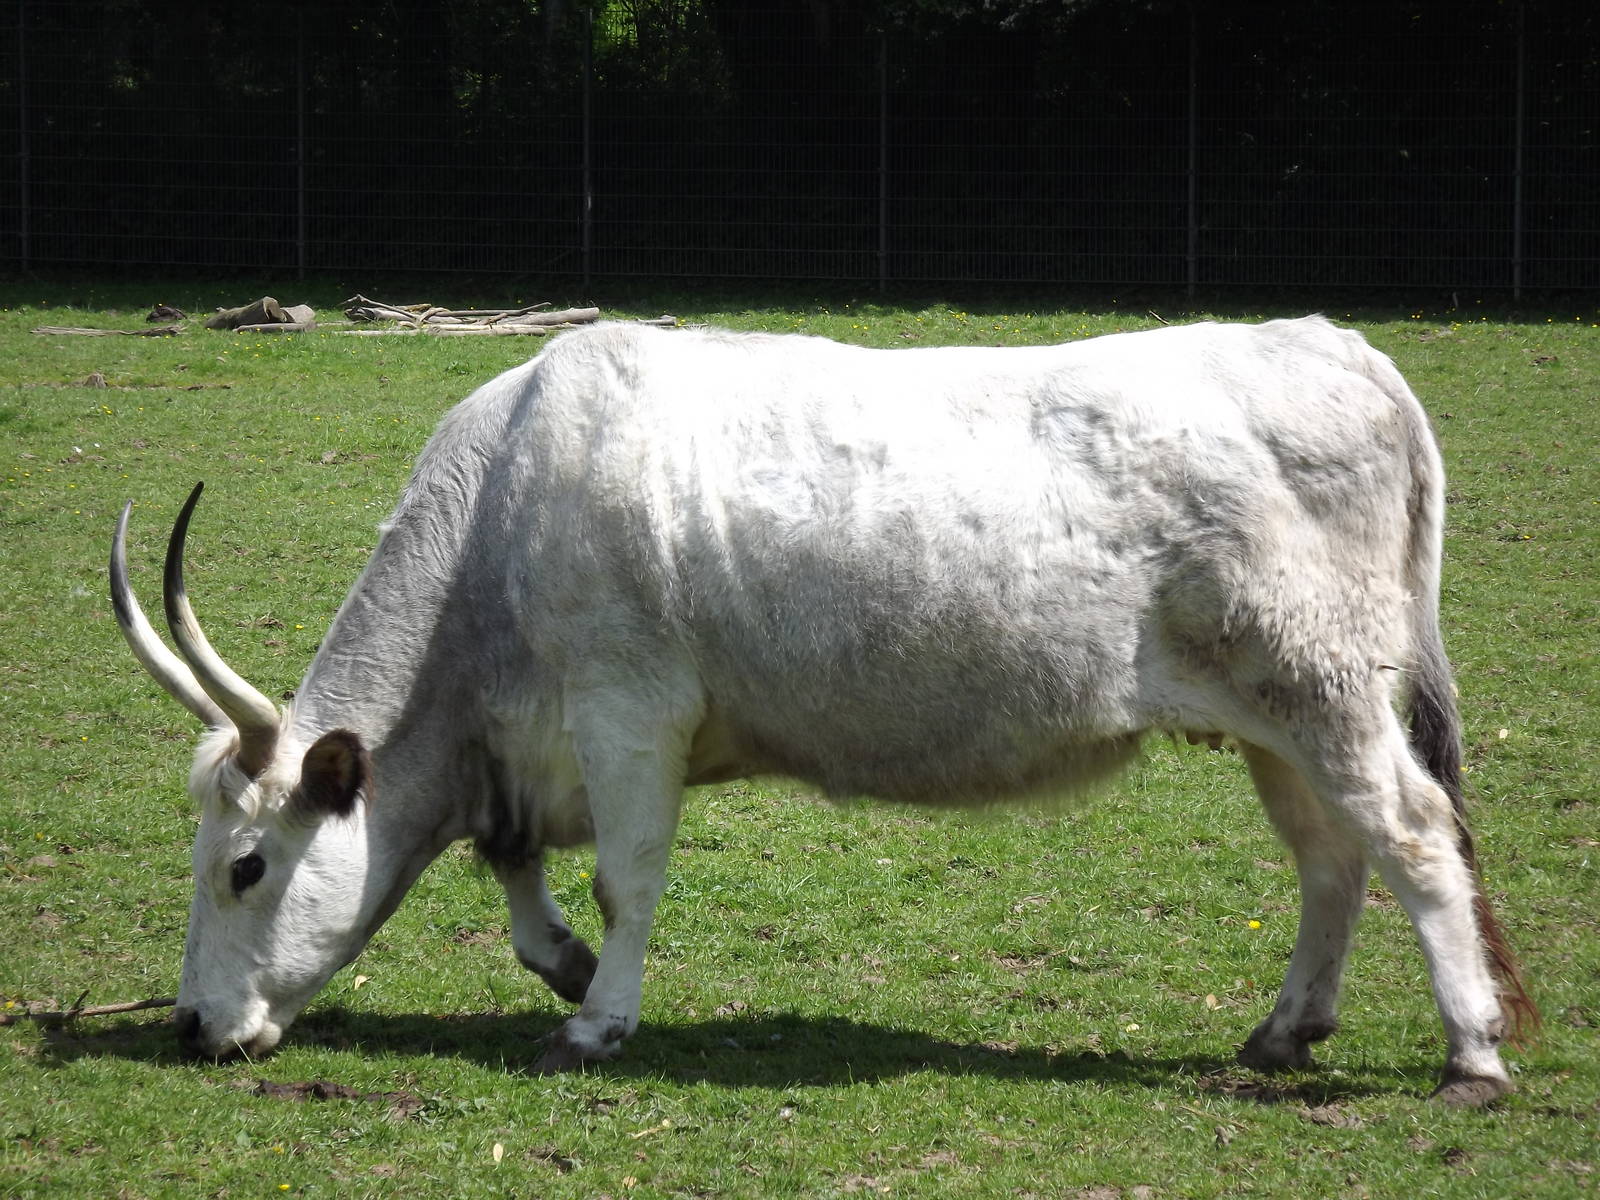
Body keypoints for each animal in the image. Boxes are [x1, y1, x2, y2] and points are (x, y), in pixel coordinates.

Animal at [111, 317, 1534, 1105]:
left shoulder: (628, 709)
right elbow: (515, 873)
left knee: (1411, 839)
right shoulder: (524, 756)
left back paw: (1469, 1057)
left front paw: (597, 1019)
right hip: (1274, 719)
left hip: (1321, 690)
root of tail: (1336, 346)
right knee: (1329, 860)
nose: (188, 1025)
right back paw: (1286, 1031)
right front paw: (563, 964)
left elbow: (627, 877)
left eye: (245, 866)